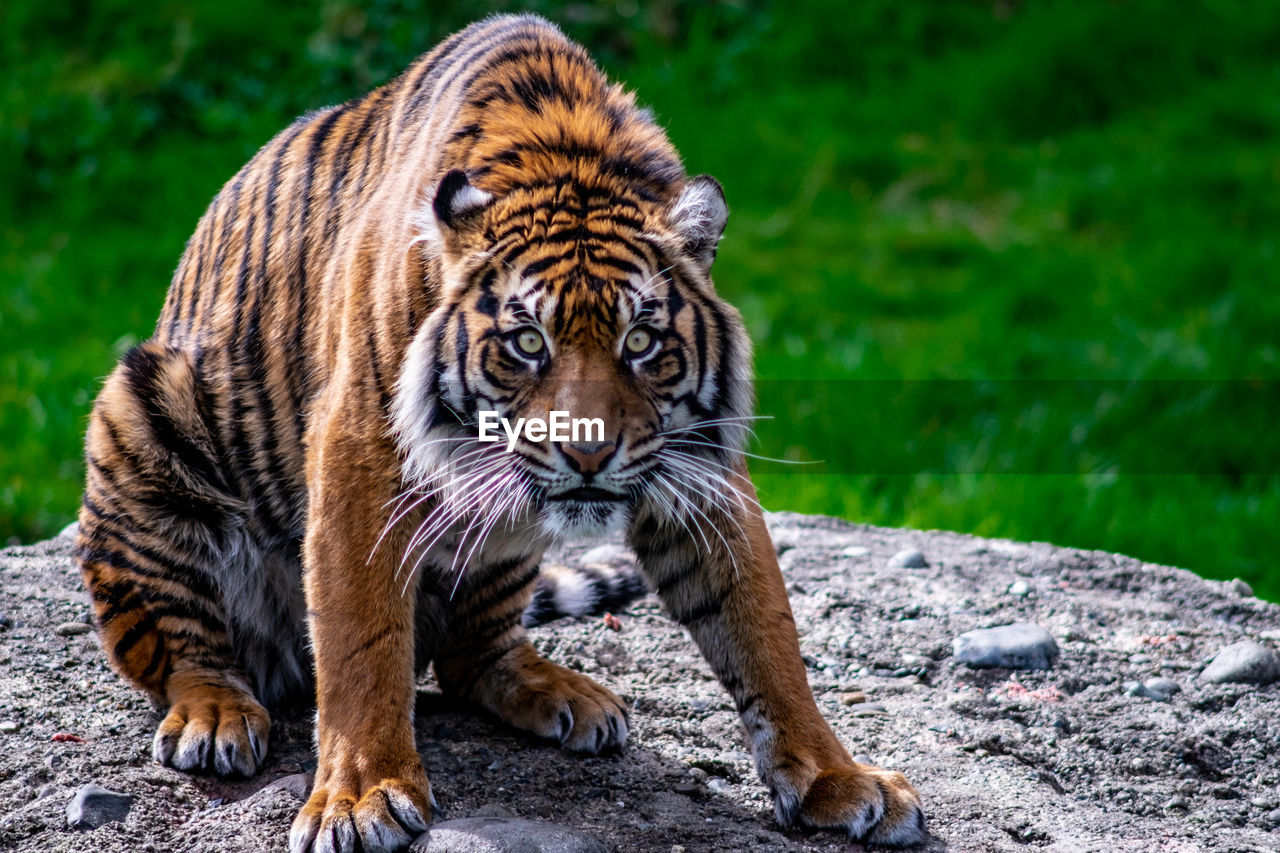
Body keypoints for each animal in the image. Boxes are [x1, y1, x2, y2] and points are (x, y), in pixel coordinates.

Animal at [74, 14, 926, 850]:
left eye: (641, 341)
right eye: (526, 342)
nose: (589, 452)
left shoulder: (698, 464)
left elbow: (763, 628)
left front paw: (838, 779)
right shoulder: (359, 448)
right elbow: (360, 637)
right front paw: (359, 797)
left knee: (472, 655)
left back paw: (563, 693)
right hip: (142, 404)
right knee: (185, 647)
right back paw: (215, 715)